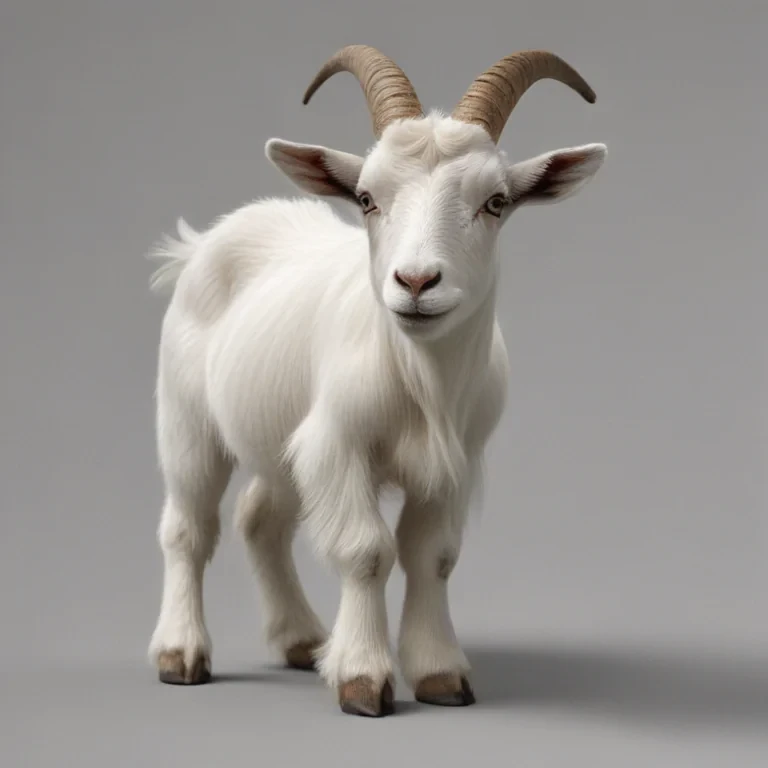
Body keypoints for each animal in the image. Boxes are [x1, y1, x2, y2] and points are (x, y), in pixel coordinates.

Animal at [147, 44, 607, 717]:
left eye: (495, 201)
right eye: (365, 197)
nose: (416, 282)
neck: (419, 378)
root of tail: (202, 241)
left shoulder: (455, 460)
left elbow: (433, 555)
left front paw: (440, 673)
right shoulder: (338, 443)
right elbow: (366, 551)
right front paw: (363, 678)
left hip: (281, 441)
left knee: (261, 519)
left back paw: (300, 638)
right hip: (187, 418)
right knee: (188, 527)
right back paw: (180, 653)